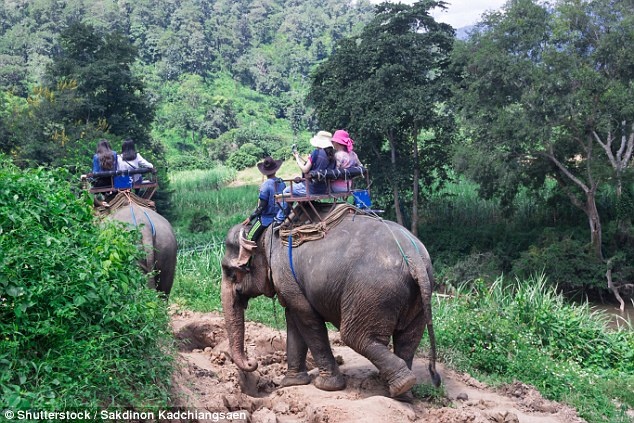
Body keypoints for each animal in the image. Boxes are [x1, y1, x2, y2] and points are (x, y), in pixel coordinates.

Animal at [222, 210, 440, 400]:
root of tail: (414, 258)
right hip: (417, 297)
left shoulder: (284, 273)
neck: (265, 232)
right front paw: (290, 383)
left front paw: (325, 386)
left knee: (356, 337)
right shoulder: (291, 282)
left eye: (230, 273)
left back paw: (401, 386)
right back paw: (403, 394)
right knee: (408, 340)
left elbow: (307, 318)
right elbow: (293, 318)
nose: (252, 362)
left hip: (373, 292)